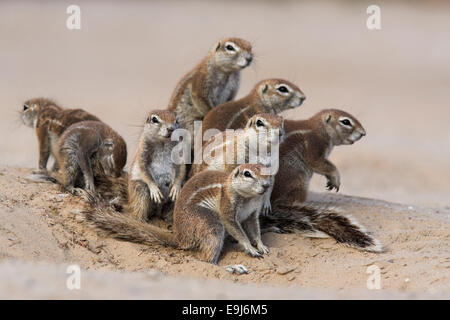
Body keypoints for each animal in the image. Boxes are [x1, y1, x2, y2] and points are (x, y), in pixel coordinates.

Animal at [85, 164, 272, 264]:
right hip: (208, 222)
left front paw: (261, 245)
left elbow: (254, 230)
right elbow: (237, 229)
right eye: (247, 173)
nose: (267, 185)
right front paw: (249, 247)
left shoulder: (252, 214)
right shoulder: (227, 208)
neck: (248, 198)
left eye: (267, 170)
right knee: (208, 250)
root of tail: (180, 236)